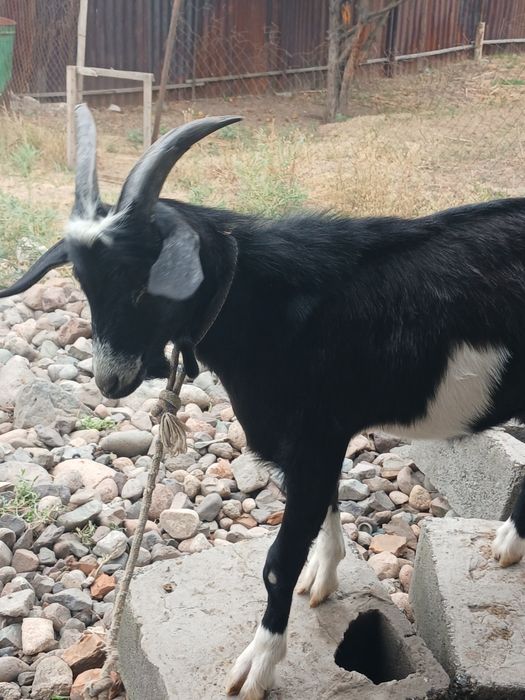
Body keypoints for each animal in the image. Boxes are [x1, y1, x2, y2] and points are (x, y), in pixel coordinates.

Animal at [2, 104, 525, 699]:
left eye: (142, 284)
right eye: (84, 285)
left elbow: (278, 561)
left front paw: (259, 665)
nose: (111, 380)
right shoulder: (317, 443)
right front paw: (323, 576)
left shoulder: (314, 437)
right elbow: (326, 508)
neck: (276, 306)